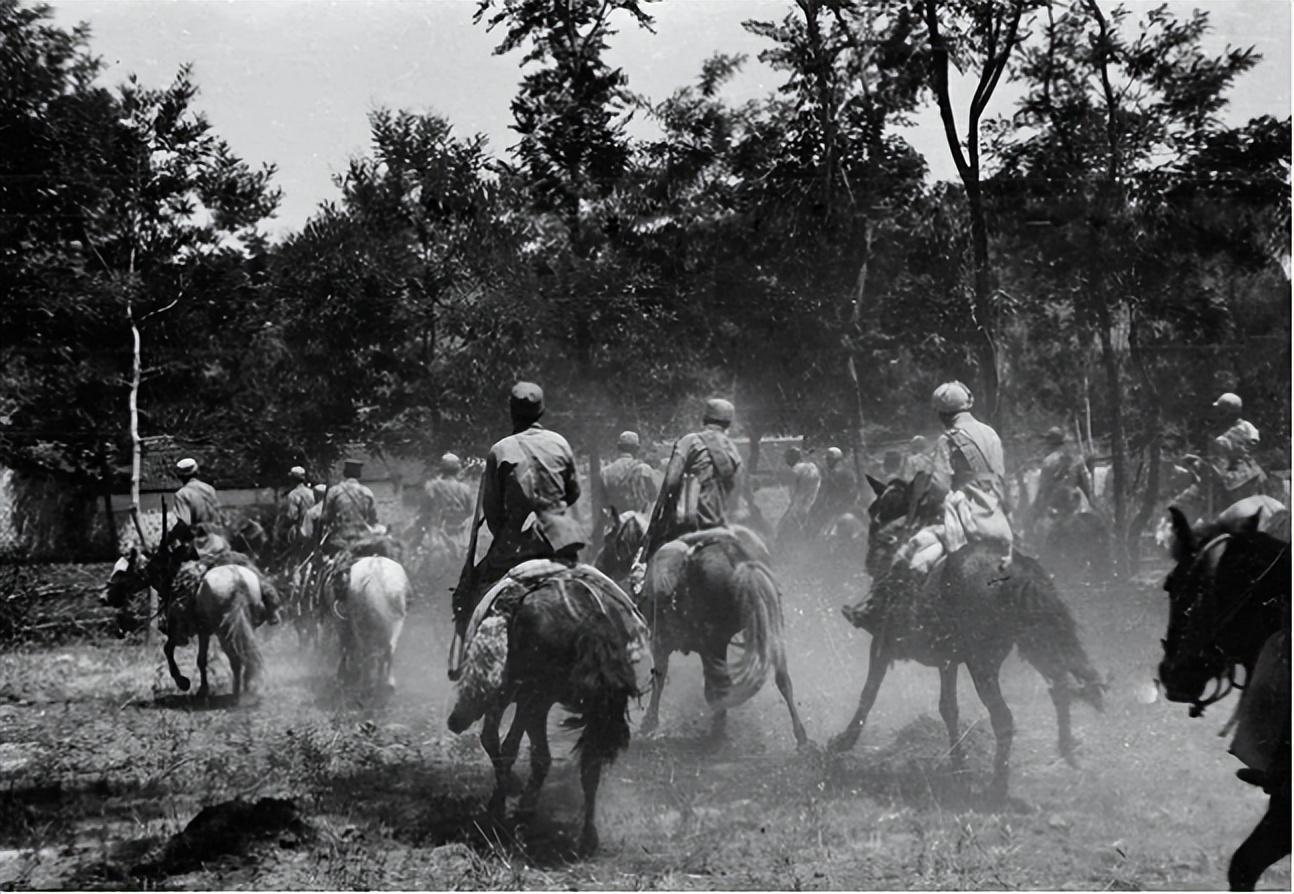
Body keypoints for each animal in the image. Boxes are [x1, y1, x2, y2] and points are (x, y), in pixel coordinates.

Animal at [450, 564, 647, 859]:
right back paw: (586, 836)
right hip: (583, 708)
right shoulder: (528, 699)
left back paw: (518, 811)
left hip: (536, 697)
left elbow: (497, 742)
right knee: (590, 764)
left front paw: (502, 802)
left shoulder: (513, 694)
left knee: (533, 753)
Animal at [639, 527, 807, 745]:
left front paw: (648, 724)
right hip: (773, 625)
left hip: (712, 646)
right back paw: (800, 734)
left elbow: (658, 680)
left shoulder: (662, 643)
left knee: (717, 690)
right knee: (782, 679)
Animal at [828, 478, 1102, 802]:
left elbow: (868, 693)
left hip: (983, 665)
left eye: (876, 511)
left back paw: (997, 788)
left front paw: (843, 742)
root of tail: (1018, 573)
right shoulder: (947, 662)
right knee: (1059, 687)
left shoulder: (882, 646)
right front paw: (957, 765)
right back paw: (1067, 750)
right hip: (1036, 646)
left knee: (1004, 718)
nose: (870, 558)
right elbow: (948, 708)